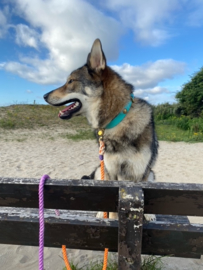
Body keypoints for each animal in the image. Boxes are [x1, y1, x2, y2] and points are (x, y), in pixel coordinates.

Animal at [44, 38, 159, 219]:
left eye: (70, 81)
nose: (44, 96)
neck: (117, 119)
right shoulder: (110, 172)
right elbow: (111, 210)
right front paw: (109, 220)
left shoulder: (139, 174)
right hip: (100, 170)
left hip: (151, 174)